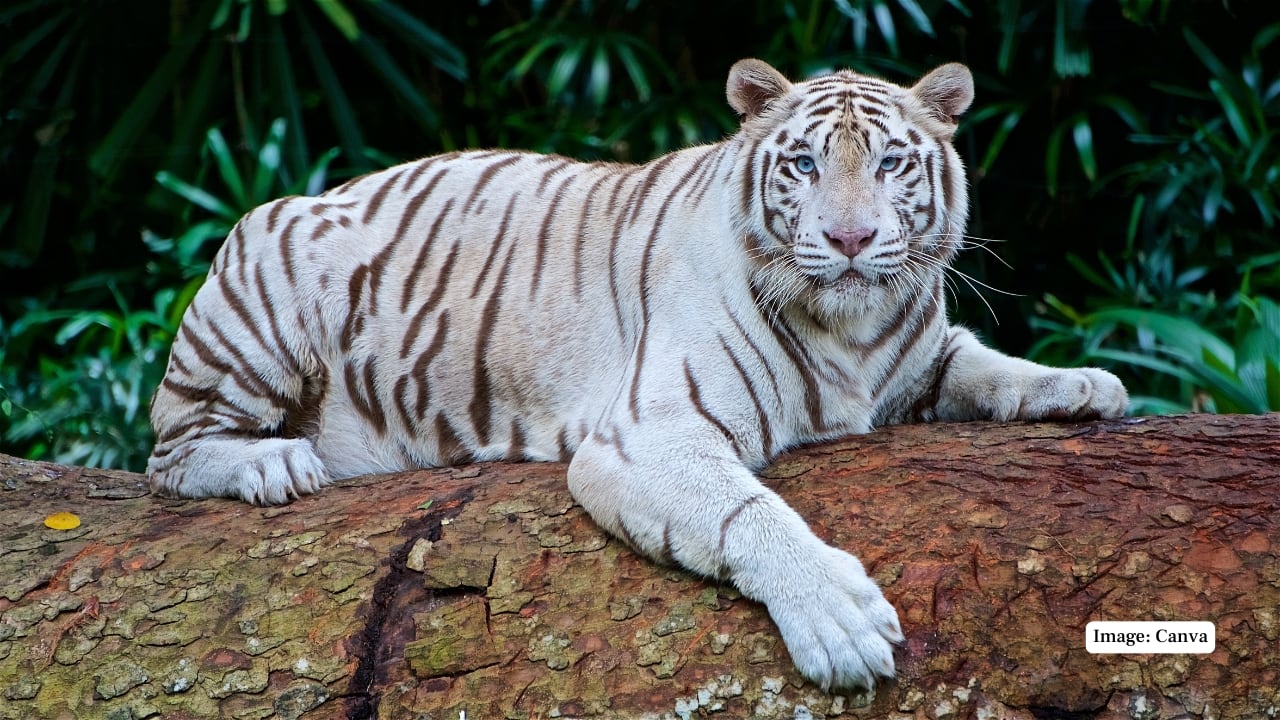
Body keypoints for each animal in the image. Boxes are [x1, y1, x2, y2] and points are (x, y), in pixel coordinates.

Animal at [147, 58, 1129, 691]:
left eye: (890, 162)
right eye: (804, 162)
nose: (850, 239)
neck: (853, 329)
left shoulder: (919, 357)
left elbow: (985, 363)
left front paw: (1086, 384)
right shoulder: (652, 434)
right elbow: (750, 513)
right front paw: (840, 622)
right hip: (266, 283)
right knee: (171, 454)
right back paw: (273, 464)